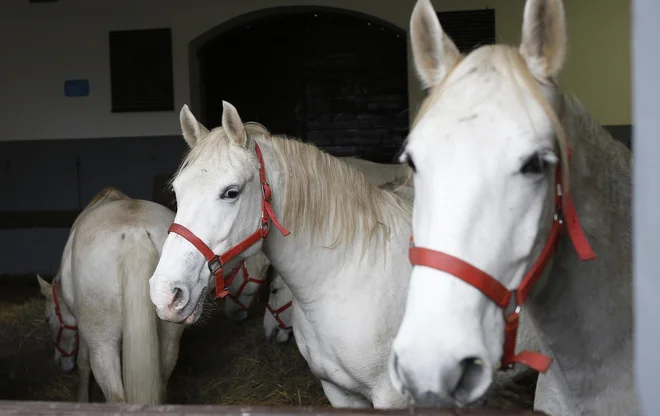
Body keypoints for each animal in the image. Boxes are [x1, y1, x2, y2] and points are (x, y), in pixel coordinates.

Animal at [37, 188, 184, 404]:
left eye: (48, 319)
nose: (60, 363)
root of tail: (136, 231)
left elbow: (83, 364)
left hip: (102, 343)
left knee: (115, 395)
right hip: (169, 339)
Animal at [150, 102, 540, 408]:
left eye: (230, 192)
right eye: (177, 190)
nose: (165, 293)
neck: (346, 276)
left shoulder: (393, 398)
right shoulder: (339, 392)